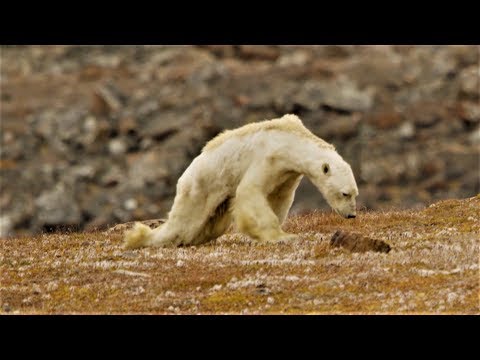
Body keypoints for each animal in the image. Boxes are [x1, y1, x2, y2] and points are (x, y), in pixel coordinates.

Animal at [124, 114, 356, 249]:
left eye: (355, 193)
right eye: (345, 193)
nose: (351, 215)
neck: (290, 140)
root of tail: (184, 177)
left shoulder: (287, 174)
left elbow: (279, 198)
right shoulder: (267, 158)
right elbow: (250, 191)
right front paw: (281, 236)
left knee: (211, 226)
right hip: (200, 187)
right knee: (184, 224)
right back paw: (139, 238)